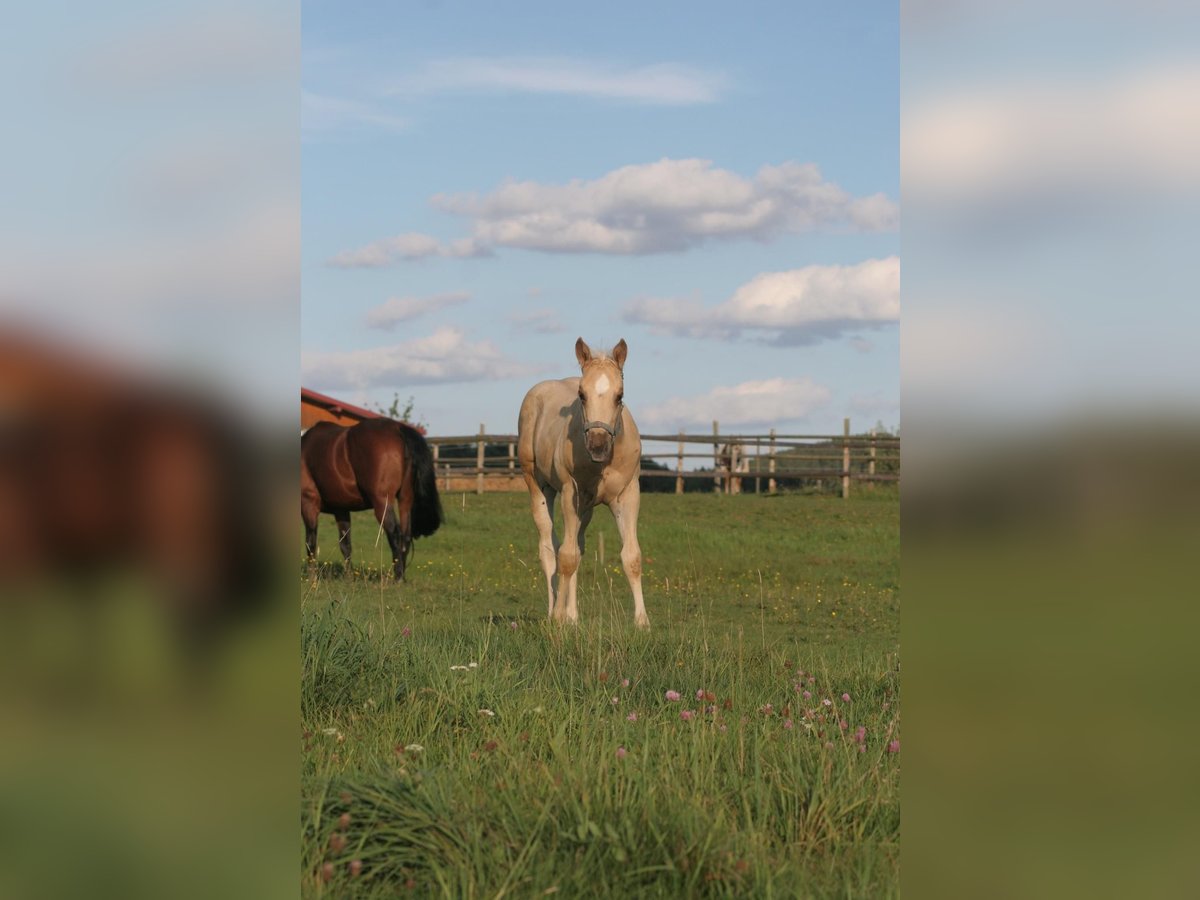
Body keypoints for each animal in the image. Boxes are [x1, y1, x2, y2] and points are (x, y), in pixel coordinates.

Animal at [300, 420, 446, 580]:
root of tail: (397, 428)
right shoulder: (341, 509)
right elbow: (345, 545)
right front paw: (349, 578)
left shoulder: (308, 503)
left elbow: (310, 543)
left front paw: (312, 578)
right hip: (405, 500)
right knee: (406, 536)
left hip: (382, 503)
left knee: (395, 535)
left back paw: (397, 578)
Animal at [516, 336, 648, 628]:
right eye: (581, 395)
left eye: (619, 395)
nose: (598, 445)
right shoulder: (570, 492)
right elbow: (565, 557)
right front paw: (559, 618)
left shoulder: (628, 494)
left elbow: (631, 556)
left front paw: (642, 622)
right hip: (538, 485)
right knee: (549, 547)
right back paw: (555, 612)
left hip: (585, 508)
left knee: (577, 546)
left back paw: (573, 616)